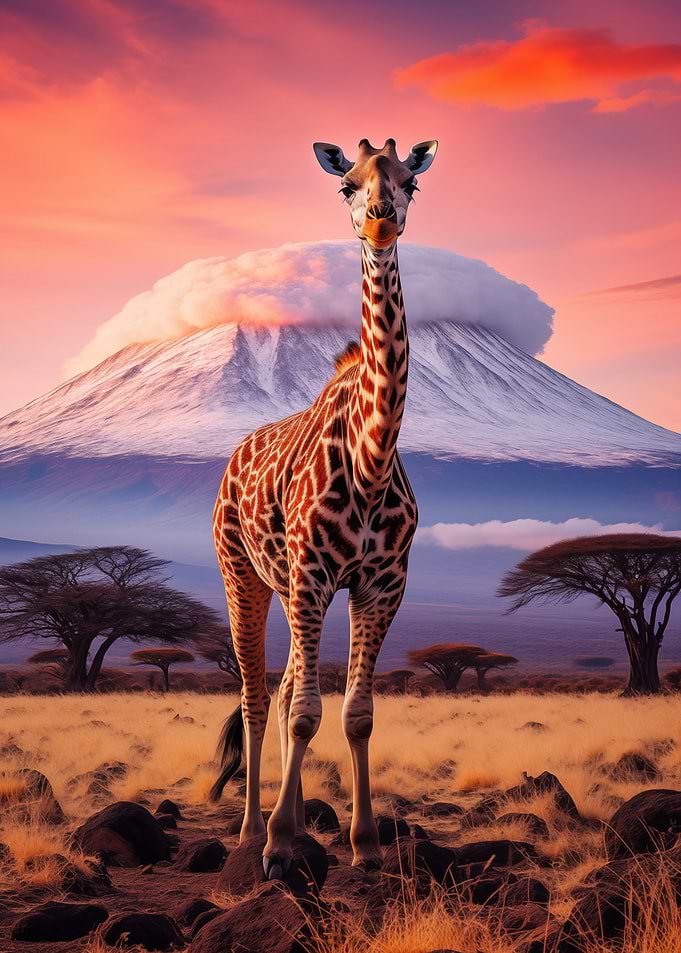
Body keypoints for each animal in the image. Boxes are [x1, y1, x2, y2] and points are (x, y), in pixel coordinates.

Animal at [210, 137, 438, 877]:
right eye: (347, 183)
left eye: (409, 182)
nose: (379, 219)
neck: (370, 459)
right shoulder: (312, 576)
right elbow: (307, 712)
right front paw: (280, 841)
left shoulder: (382, 583)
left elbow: (354, 713)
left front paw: (363, 843)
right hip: (246, 578)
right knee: (260, 699)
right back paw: (252, 830)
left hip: (287, 590)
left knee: (283, 692)